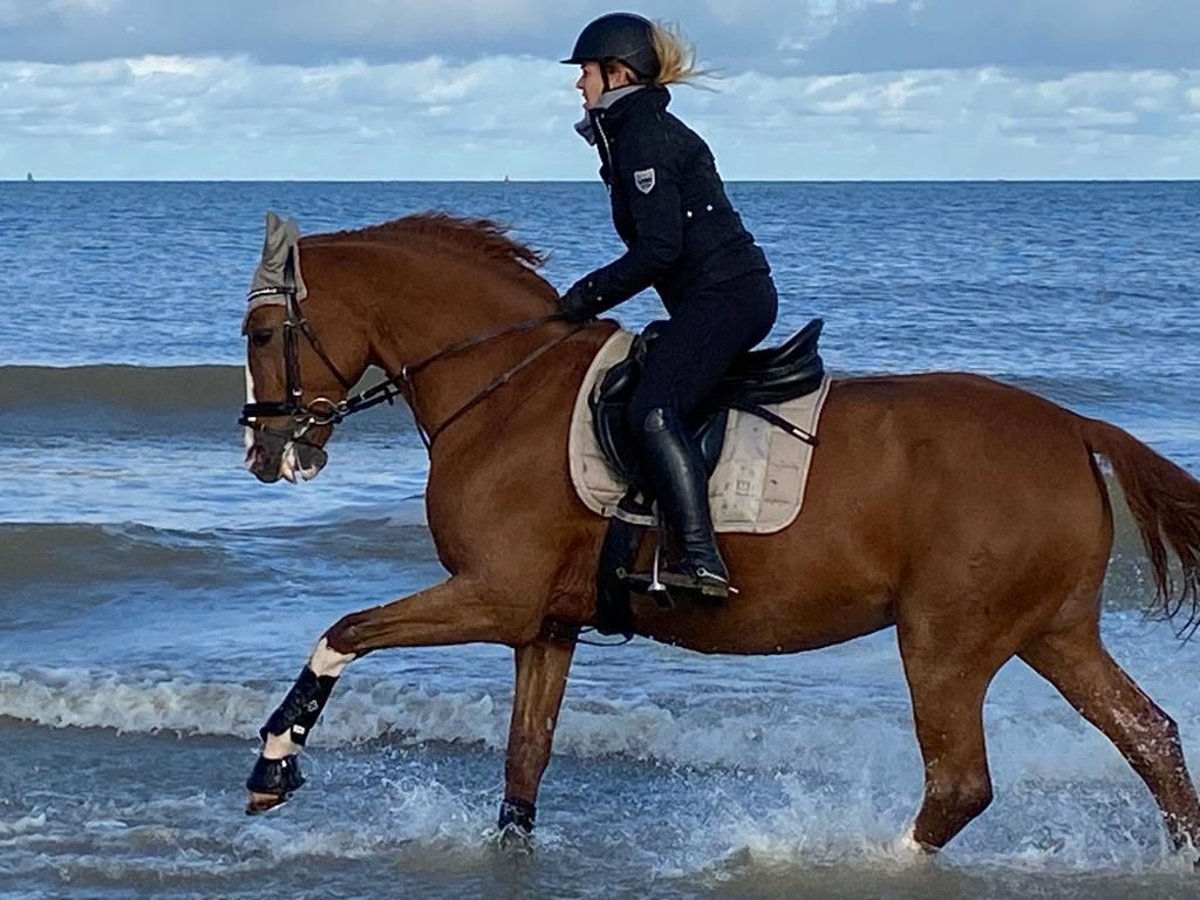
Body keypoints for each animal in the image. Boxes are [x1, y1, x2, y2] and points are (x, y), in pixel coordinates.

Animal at [236, 210, 1200, 859]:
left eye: (260, 331)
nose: (263, 450)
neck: (506, 386)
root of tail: (1071, 426)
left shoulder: (494, 597)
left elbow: (345, 633)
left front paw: (275, 763)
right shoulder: (546, 626)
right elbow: (524, 759)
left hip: (946, 641)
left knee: (961, 782)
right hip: (1052, 632)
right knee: (1150, 737)